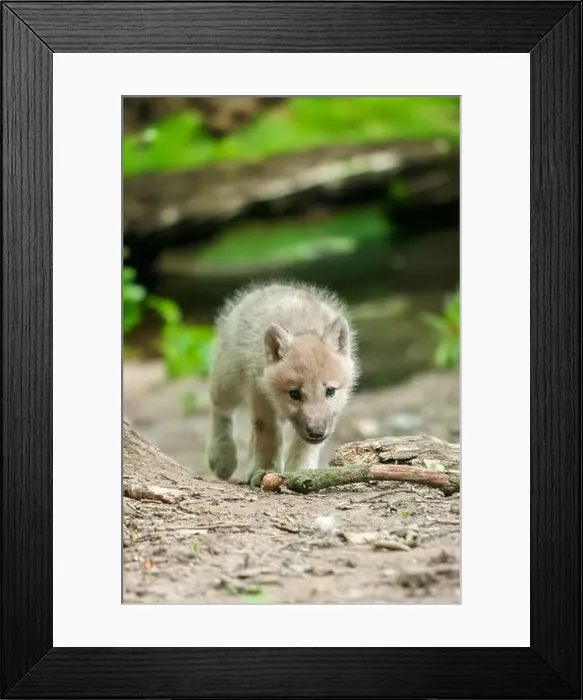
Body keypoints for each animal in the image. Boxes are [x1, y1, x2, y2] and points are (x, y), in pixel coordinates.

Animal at [206, 281, 359, 481]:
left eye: (330, 391)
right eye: (294, 393)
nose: (316, 432)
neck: (304, 326)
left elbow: (303, 445)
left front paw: (301, 471)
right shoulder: (260, 394)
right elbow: (268, 434)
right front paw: (265, 469)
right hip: (229, 383)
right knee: (219, 409)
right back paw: (222, 457)